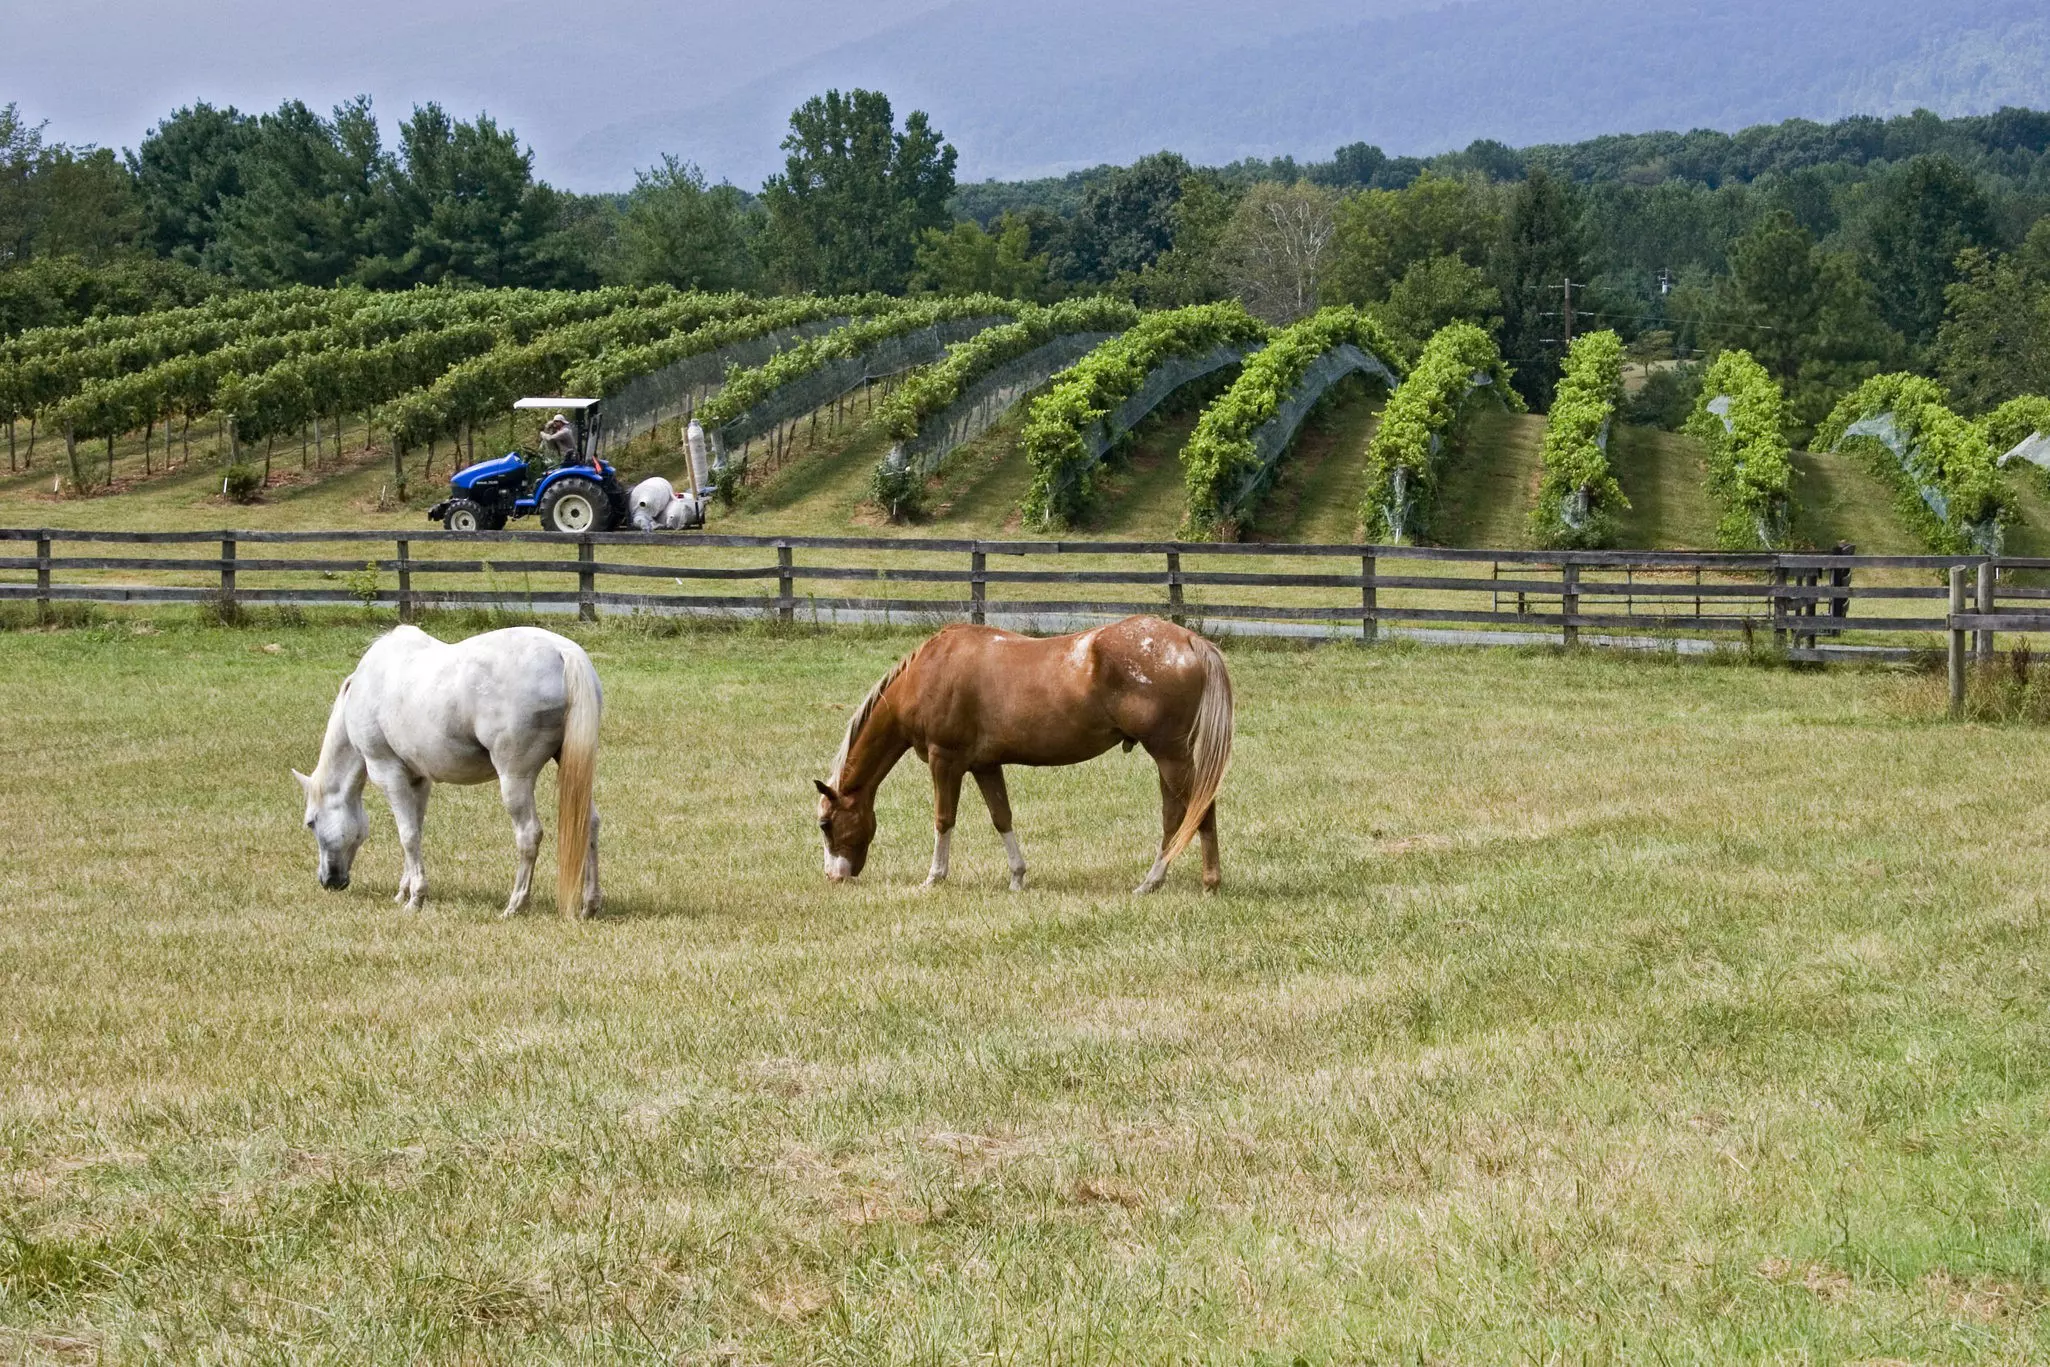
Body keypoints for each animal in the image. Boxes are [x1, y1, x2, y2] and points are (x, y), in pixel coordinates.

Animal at [293, 625, 603, 919]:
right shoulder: (418, 780)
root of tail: (563, 651)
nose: (328, 881)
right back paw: (589, 905)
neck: (365, 685)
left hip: (515, 780)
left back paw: (514, 905)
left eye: (311, 822)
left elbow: (407, 834)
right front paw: (404, 891)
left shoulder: (389, 774)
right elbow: (415, 831)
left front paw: (416, 899)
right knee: (589, 823)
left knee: (529, 835)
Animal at [814, 616, 1233, 894]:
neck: (929, 672)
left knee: (1199, 810)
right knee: (1176, 815)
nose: (834, 876)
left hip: (1171, 755)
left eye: (825, 824)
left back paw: (1202, 882)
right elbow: (1002, 817)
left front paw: (934, 878)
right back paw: (1155, 881)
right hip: (1168, 758)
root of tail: (1189, 640)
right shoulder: (985, 766)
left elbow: (943, 819)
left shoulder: (944, 760)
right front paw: (1017, 877)